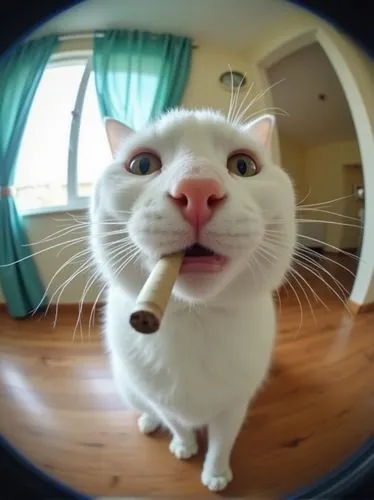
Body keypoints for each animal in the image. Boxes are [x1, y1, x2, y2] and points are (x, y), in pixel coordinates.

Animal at [90, 109, 296, 492]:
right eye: (142, 164)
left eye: (243, 166)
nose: (197, 190)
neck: (194, 318)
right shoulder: (162, 399)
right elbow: (177, 423)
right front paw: (183, 447)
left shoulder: (234, 404)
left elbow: (222, 442)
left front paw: (215, 474)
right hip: (128, 386)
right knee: (147, 410)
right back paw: (148, 423)